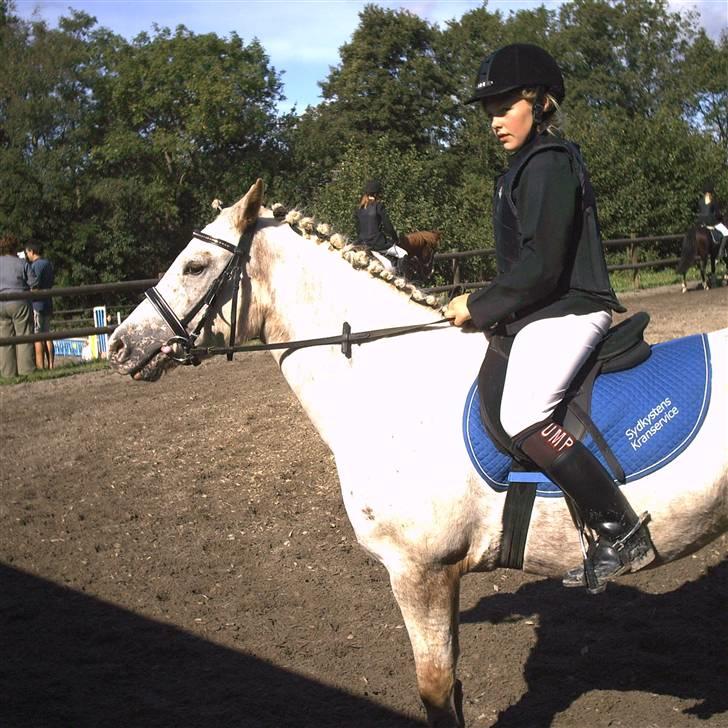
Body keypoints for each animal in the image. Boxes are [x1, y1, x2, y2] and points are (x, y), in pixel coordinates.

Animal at [108, 179, 728, 724]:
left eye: (194, 266)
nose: (119, 345)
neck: (393, 380)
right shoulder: (436, 577)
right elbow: (450, 689)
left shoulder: (420, 572)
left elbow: (435, 692)